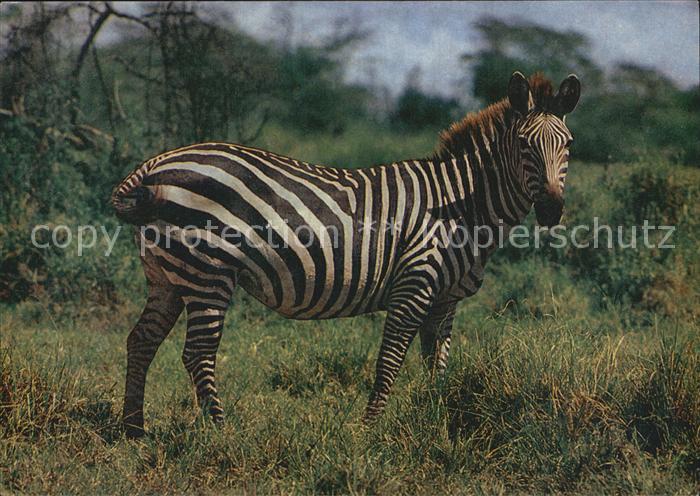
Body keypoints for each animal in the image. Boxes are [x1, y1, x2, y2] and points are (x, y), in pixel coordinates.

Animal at [112, 71, 580, 437]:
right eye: (524, 146)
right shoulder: (414, 284)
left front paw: (436, 419)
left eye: (569, 146)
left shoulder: (445, 299)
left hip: (168, 276)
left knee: (141, 341)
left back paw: (134, 430)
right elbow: (389, 361)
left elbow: (437, 366)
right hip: (208, 271)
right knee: (197, 353)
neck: (461, 205)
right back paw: (220, 432)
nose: (552, 210)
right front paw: (369, 430)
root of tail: (153, 165)